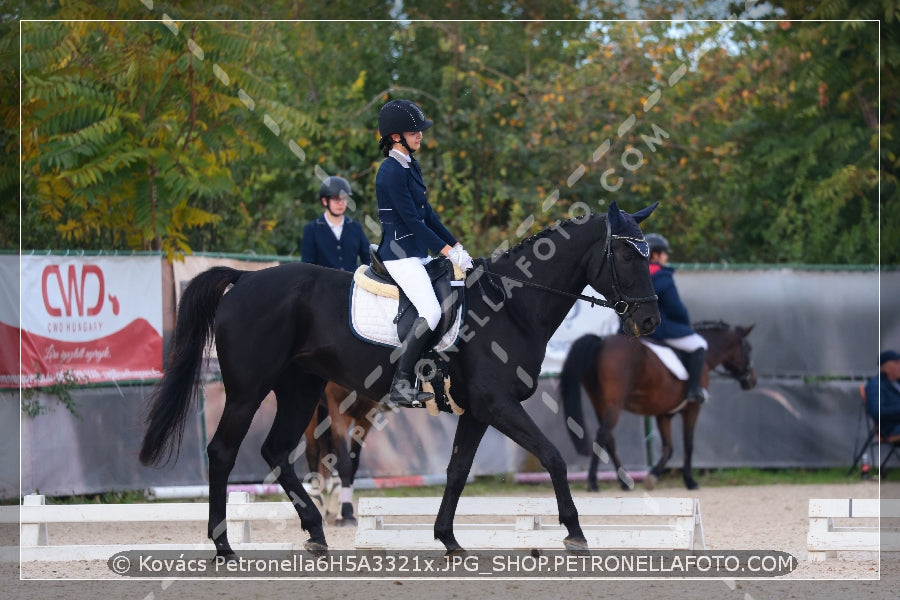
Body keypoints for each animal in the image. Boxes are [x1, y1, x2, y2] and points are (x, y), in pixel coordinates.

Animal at [141, 202, 660, 556]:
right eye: (626, 255)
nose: (650, 321)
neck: (511, 305)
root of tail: (245, 279)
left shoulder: (478, 410)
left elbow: (456, 471)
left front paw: (448, 539)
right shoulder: (499, 404)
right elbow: (552, 456)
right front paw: (574, 531)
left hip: (300, 388)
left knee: (276, 451)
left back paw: (315, 532)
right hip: (249, 391)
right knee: (223, 452)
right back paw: (225, 547)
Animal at [560, 322, 756, 490]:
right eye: (748, 348)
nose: (752, 380)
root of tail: (601, 341)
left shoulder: (664, 414)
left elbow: (669, 448)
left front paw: (652, 476)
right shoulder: (692, 409)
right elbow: (688, 444)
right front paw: (689, 481)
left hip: (599, 403)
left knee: (608, 438)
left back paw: (624, 482)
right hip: (614, 404)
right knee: (602, 433)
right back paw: (593, 481)